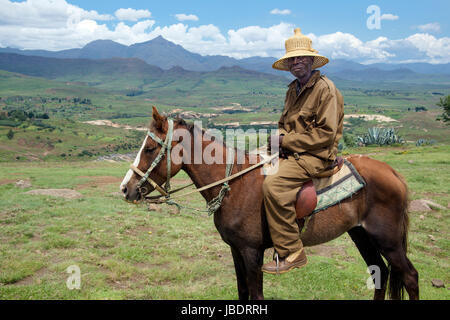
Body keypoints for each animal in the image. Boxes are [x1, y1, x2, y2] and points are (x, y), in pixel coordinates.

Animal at [118, 109, 418, 302]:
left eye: (149, 149)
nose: (126, 189)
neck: (234, 184)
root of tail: (393, 173)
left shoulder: (252, 252)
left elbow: (256, 294)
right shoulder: (236, 250)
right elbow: (242, 293)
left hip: (388, 239)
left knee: (410, 276)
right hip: (360, 234)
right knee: (380, 272)